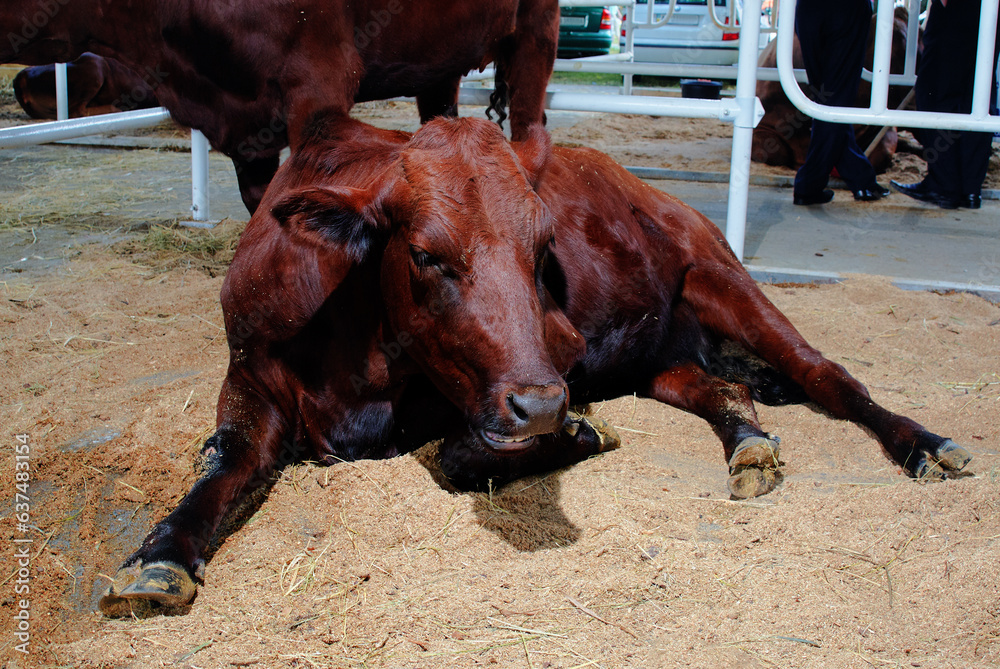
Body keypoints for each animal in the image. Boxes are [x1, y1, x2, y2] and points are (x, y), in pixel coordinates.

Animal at [99, 117, 970, 617]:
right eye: (426, 254)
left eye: (544, 246)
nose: (543, 406)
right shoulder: (249, 374)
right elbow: (224, 459)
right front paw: (158, 556)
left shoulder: (551, 355)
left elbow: (456, 457)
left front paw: (579, 434)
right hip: (661, 359)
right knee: (720, 385)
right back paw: (749, 445)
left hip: (723, 278)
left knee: (831, 376)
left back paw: (925, 444)